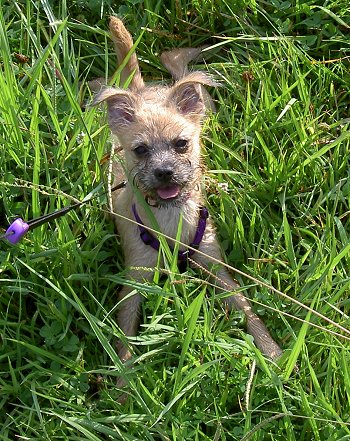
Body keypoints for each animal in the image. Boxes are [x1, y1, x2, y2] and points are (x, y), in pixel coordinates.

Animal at [93, 17, 282, 366]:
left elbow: (248, 312)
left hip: (206, 105)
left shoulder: (216, 268)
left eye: (181, 144)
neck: (170, 219)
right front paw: (123, 379)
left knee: (178, 65)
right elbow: (125, 339)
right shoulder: (134, 281)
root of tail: (142, 90)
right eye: (140, 150)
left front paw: (272, 352)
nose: (165, 172)